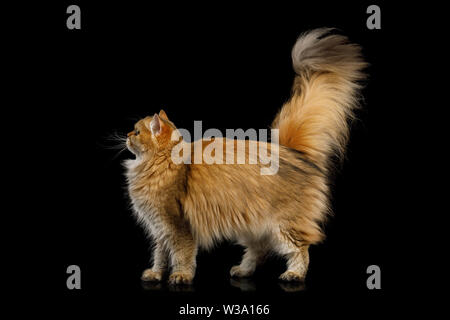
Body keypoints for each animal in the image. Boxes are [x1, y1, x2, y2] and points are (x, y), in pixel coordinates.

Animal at [123, 28, 366, 284]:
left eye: (136, 131)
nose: (127, 135)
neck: (162, 163)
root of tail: (291, 151)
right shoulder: (159, 230)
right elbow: (160, 256)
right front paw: (155, 274)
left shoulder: (177, 225)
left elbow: (182, 255)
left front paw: (180, 276)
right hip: (253, 226)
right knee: (258, 251)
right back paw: (242, 270)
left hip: (284, 225)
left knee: (300, 249)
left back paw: (293, 274)